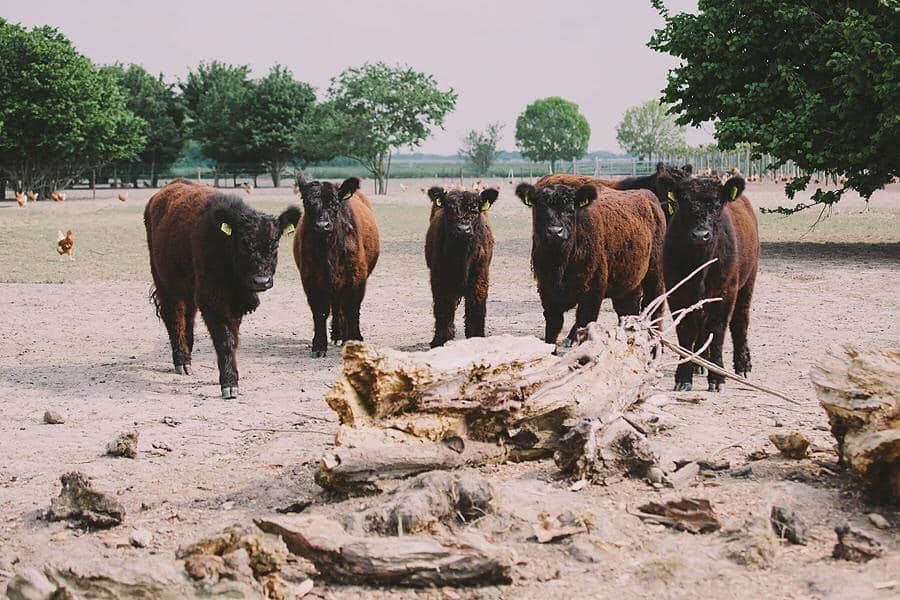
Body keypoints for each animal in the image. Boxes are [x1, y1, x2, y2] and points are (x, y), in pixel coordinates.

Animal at [144, 180, 298, 400]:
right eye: (243, 244)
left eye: (275, 245)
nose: (262, 281)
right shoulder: (212, 299)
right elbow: (225, 340)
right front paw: (229, 384)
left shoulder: (234, 303)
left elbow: (233, 339)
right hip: (164, 282)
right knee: (173, 317)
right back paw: (181, 360)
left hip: (188, 286)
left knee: (188, 316)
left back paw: (188, 354)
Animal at [296, 176, 380, 358]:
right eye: (307, 203)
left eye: (334, 203)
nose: (322, 225)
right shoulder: (310, 280)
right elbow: (320, 312)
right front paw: (319, 346)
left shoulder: (356, 279)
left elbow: (352, 309)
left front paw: (355, 339)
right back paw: (337, 334)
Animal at [424, 186, 500, 346]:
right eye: (449, 209)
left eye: (475, 209)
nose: (463, 229)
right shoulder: (439, 278)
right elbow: (443, 308)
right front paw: (440, 340)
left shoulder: (480, 277)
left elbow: (475, 307)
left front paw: (476, 336)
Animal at [512, 180, 668, 344]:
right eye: (541, 207)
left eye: (571, 209)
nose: (555, 231)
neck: (560, 263)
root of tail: (648, 195)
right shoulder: (547, 293)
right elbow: (553, 330)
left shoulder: (591, 294)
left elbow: (583, 325)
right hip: (628, 283)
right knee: (628, 311)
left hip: (655, 276)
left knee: (656, 309)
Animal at [660, 172, 760, 394]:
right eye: (685, 204)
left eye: (716, 205)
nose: (700, 235)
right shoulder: (677, 292)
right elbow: (686, 330)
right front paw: (684, 377)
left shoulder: (725, 292)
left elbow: (718, 329)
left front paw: (717, 377)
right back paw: (700, 363)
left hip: (747, 282)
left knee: (740, 322)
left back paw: (743, 366)